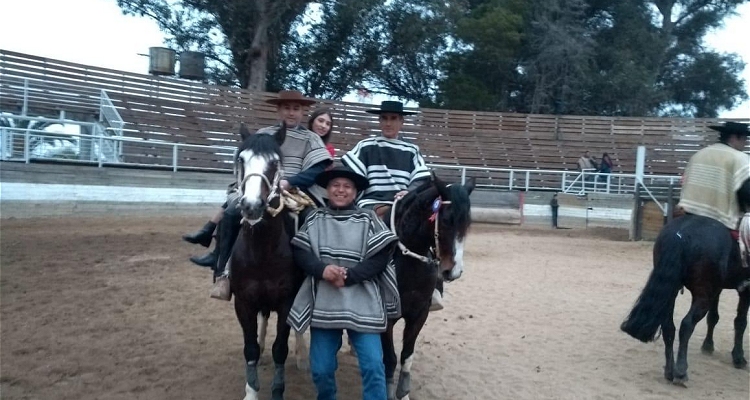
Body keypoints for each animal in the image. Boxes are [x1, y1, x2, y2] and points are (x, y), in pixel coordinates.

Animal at [232, 125, 308, 400]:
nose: (252, 206)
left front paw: (277, 390)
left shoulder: (287, 302)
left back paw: (302, 357)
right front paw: (251, 391)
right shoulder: (244, 303)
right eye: (241, 160)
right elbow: (251, 348)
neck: (262, 252)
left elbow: (280, 349)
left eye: (274, 163)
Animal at [384, 175, 472, 400]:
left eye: (468, 223)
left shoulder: (419, 313)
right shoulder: (386, 318)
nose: (454, 271)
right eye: (447, 220)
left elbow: (406, 356)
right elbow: (389, 359)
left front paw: (403, 393)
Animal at [624, 214, 750, 386]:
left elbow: (713, 318)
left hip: (672, 292)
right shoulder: (745, 289)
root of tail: (681, 233)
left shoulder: (718, 289)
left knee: (668, 326)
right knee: (687, 325)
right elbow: (740, 322)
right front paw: (738, 357)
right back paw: (681, 372)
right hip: (702, 295)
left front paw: (708, 346)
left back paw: (669, 371)